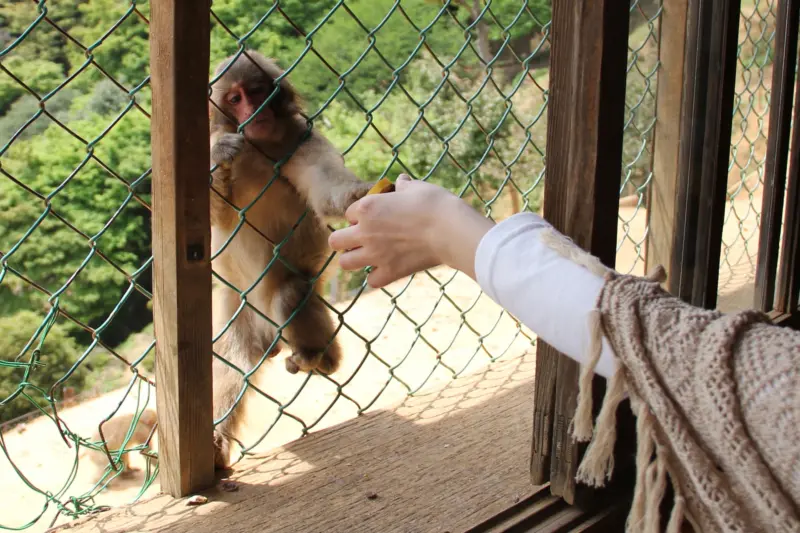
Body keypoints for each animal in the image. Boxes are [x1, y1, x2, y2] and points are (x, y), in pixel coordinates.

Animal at [206, 50, 376, 466]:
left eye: (255, 91)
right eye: (234, 98)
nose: (254, 111)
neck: (260, 147)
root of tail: (269, 336)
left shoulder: (304, 140)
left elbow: (328, 193)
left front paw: (362, 195)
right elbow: (213, 218)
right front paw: (220, 156)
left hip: (282, 303)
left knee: (292, 292)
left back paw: (321, 358)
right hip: (235, 310)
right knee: (229, 361)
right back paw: (216, 449)